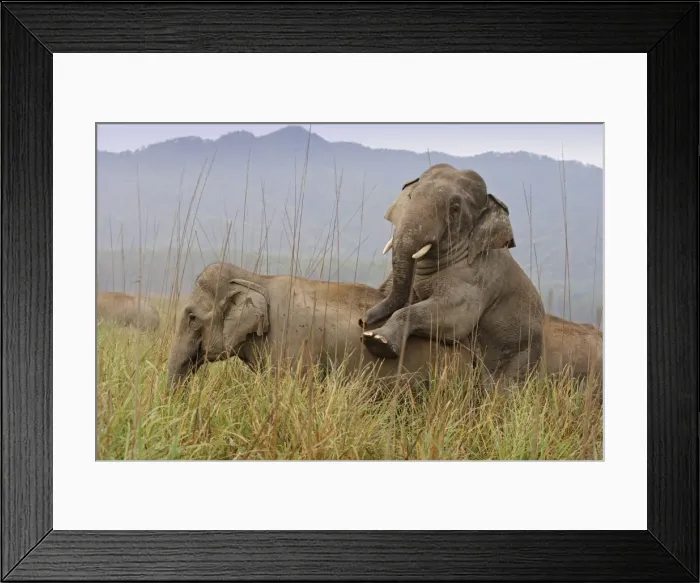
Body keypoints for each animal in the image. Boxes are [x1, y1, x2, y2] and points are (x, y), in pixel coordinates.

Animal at [359, 163, 545, 391]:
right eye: (411, 196)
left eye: (455, 209)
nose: (362, 320)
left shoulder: (477, 277)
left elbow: (457, 316)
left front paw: (376, 340)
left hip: (522, 355)